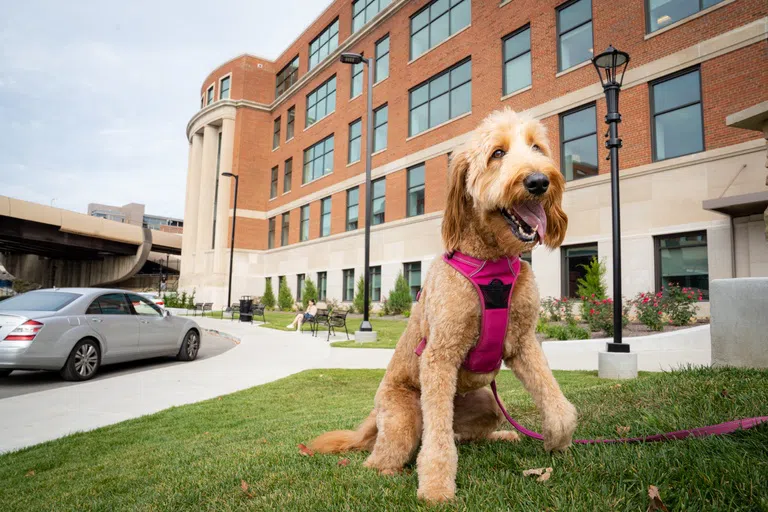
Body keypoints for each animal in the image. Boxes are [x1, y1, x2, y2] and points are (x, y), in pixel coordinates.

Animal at [308, 109, 576, 504]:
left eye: (536, 148)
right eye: (497, 153)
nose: (539, 181)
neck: (491, 265)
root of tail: (374, 416)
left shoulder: (524, 343)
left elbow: (554, 399)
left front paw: (559, 439)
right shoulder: (440, 355)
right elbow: (436, 444)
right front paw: (436, 487)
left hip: (485, 404)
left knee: (460, 435)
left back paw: (503, 435)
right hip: (404, 417)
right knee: (385, 455)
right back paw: (390, 470)